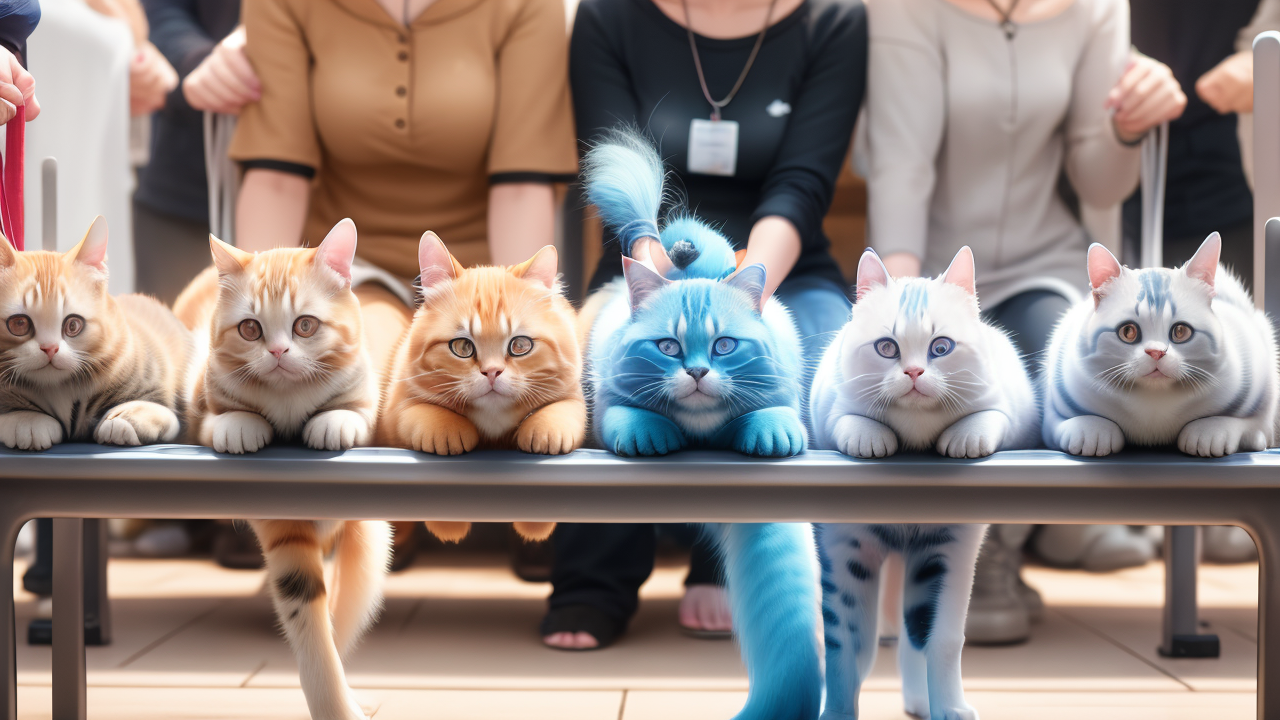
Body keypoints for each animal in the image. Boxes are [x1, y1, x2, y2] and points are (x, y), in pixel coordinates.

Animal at [0, 213, 192, 448]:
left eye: (73, 325)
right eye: (19, 324)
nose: (50, 348)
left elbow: (160, 409)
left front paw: (125, 418)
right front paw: (27, 419)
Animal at [174, 219, 389, 717]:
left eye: (305, 325)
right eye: (250, 329)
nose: (276, 352)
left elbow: (344, 613)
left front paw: (333, 421)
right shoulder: (282, 527)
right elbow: (310, 624)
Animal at [376, 229, 583, 538]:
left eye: (520, 345)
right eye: (462, 347)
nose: (492, 372)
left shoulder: (573, 391)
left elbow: (564, 409)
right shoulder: (396, 404)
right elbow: (418, 411)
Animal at [808, 245, 1039, 717]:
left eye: (941, 347)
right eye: (886, 347)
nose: (914, 373)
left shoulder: (950, 551)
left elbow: (942, 640)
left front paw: (950, 708)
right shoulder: (845, 548)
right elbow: (846, 647)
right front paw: (837, 710)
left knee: (914, 635)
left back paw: (921, 701)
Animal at [1044, 235, 1274, 453]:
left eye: (1180, 331)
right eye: (1128, 332)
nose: (1156, 352)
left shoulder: (1261, 376)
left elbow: (1250, 421)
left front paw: (1210, 431)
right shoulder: (1055, 396)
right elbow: (1066, 421)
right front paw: (1092, 431)